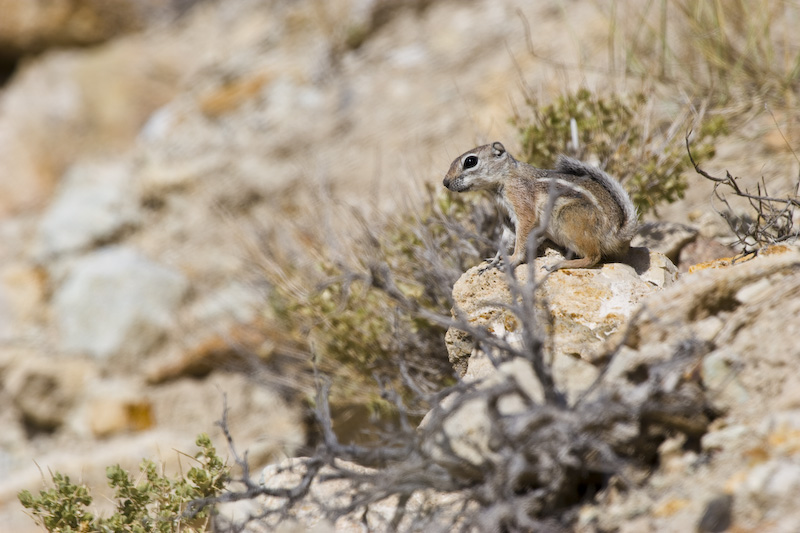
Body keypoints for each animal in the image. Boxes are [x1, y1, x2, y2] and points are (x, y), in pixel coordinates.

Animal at [444, 141, 636, 270]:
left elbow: (521, 237)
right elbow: (505, 240)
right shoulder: (506, 218)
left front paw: (512, 260)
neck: (505, 178)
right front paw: (494, 260)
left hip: (568, 218)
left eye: (470, 161)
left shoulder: (521, 204)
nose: (445, 182)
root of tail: (617, 232)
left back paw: (559, 264)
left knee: (593, 257)